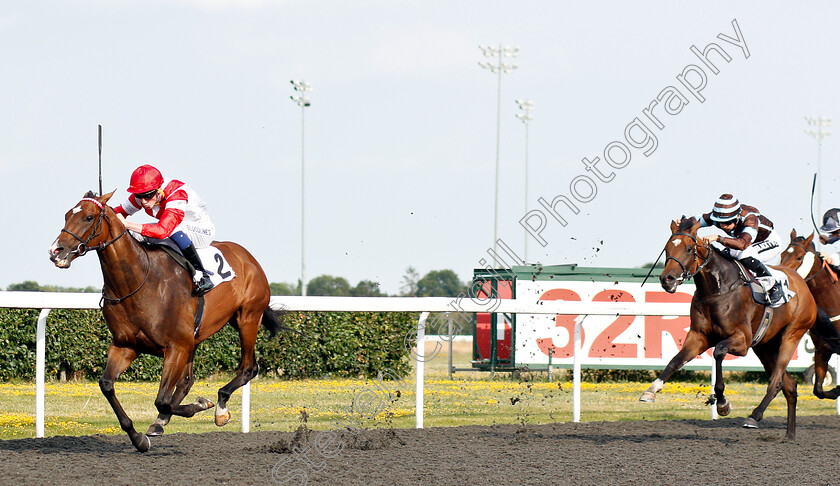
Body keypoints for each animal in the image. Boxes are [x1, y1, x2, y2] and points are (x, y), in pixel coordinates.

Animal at [50, 190, 286, 452]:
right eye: (67, 215)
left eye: (89, 217)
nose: (56, 250)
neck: (138, 281)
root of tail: (248, 257)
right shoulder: (126, 345)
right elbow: (107, 385)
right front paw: (138, 438)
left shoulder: (175, 346)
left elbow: (162, 399)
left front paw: (202, 405)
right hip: (197, 336)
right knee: (186, 381)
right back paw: (162, 422)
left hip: (248, 317)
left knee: (248, 367)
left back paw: (220, 408)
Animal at [644, 219, 820, 440]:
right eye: (667, 248)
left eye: (689, 248)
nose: (667, 279)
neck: (716, 290)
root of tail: (803, 284)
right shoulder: (698, 337)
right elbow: (675, 360)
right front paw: (651, 390)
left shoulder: (742, 341)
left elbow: (718, 352)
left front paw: (722, 403)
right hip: (765, 346)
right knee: (789, 385)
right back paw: (789, 435)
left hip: (792, 334)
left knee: (777, 381)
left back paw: (754, 416)